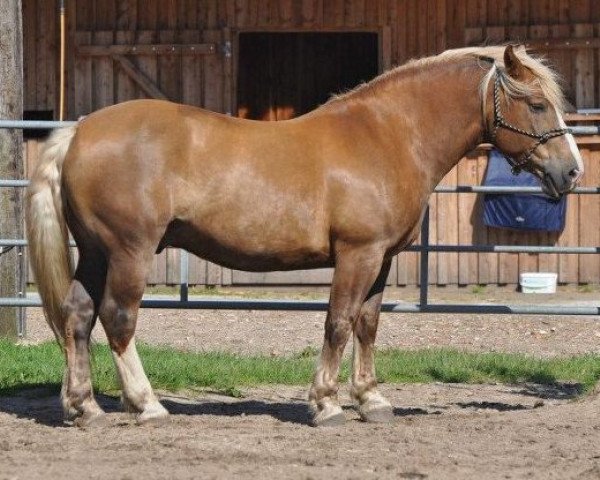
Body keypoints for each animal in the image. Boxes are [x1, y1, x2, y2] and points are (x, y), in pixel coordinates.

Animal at [27, 46, 580, 428]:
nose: (571, 171)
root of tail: (79, 131)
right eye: (536, 104)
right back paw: (147, 406)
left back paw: (85, 408)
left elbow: (367, 326)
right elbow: (337, 324)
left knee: (78, 317)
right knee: (118, 319)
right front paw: (326, 405)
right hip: (129, 252)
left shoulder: (380, 260)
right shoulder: (357, 255)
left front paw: (372, 401)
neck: (388, 135)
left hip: (95, 253)